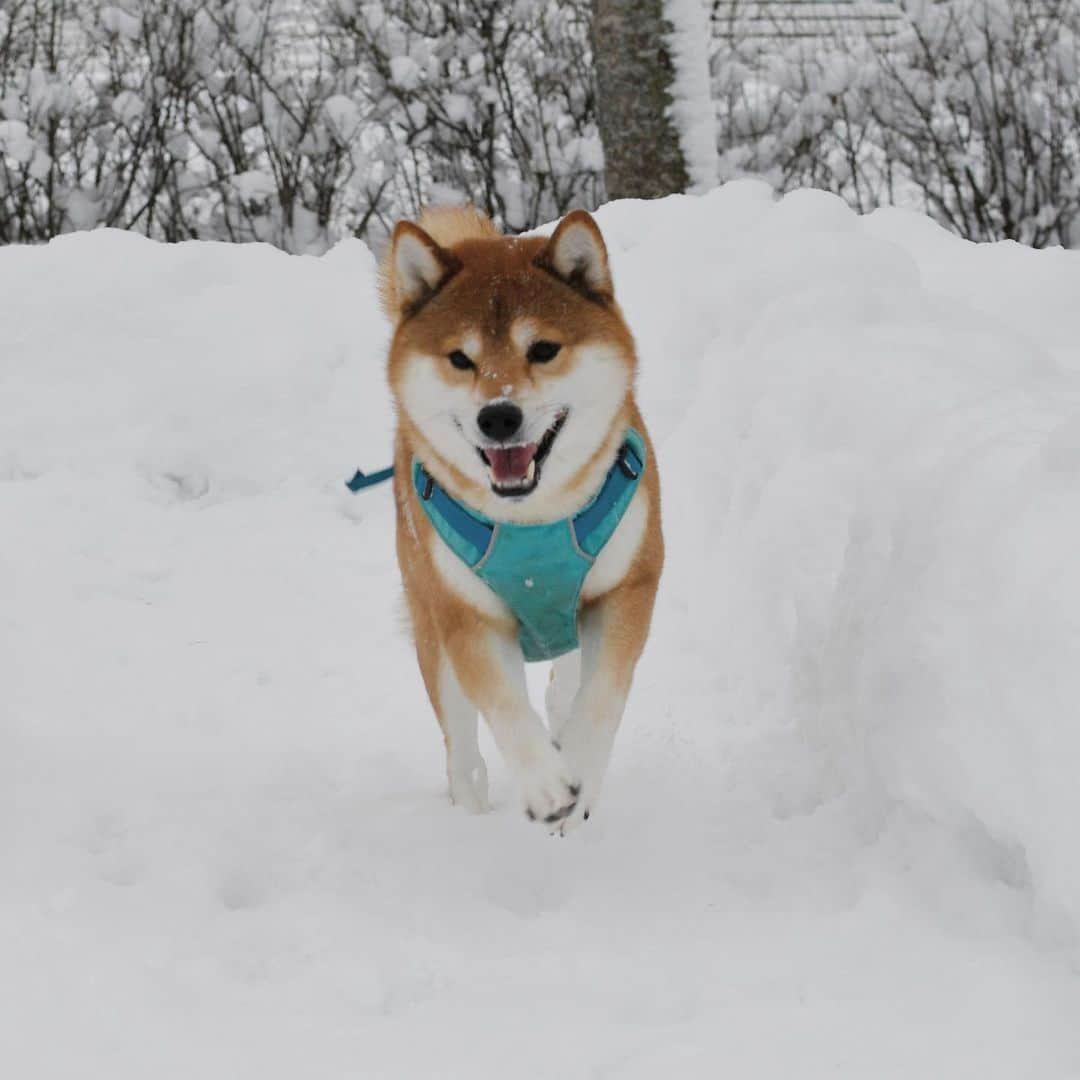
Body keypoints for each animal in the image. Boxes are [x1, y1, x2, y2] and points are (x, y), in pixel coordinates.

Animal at [380, 204, 665, 825]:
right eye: (460, 358)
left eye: (543, 350)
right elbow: (504, 704)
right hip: (429, 621)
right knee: (461, 739)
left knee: (569, 677)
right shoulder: (466, 614)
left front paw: (578, 767)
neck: (535, 522)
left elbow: (603, 690)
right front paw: (546, 785)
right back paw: (469, 798)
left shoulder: (628, 584)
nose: (498, 417)